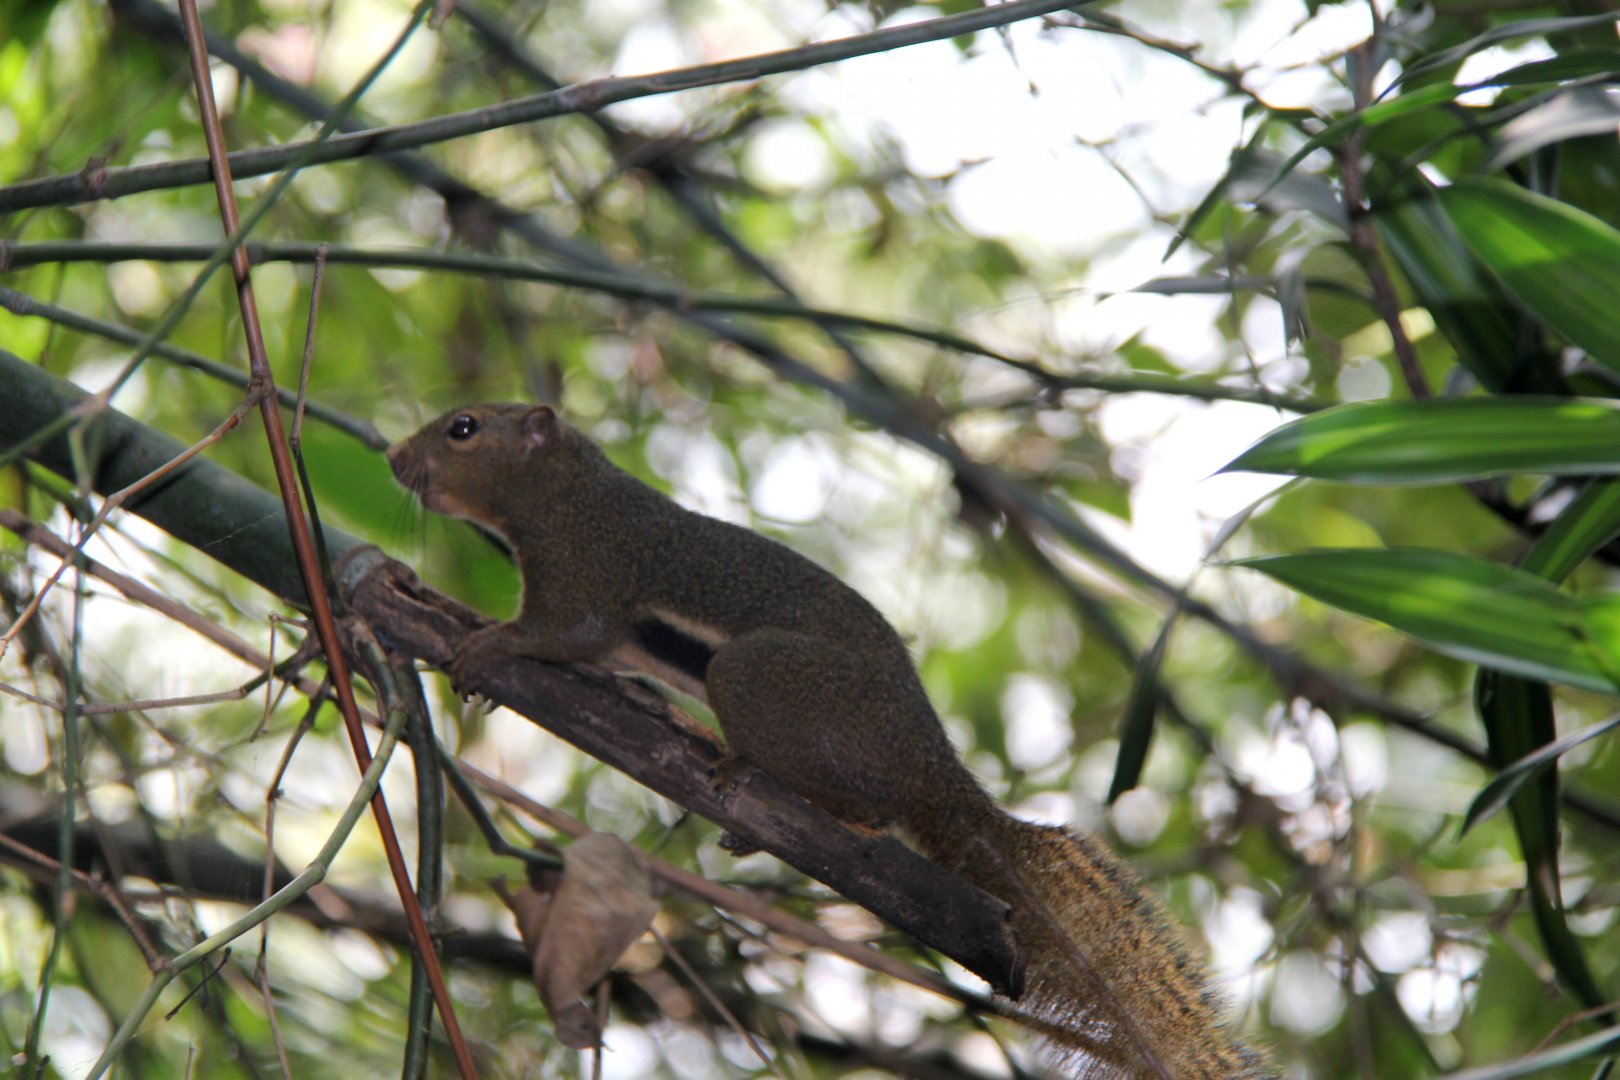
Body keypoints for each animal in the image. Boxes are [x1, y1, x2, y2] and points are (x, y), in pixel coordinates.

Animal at [389, 402, 1268, 1078]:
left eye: (464, 428)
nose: (395, 458)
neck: (564, 489)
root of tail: (930, 764)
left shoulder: (587, 573)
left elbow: (560, 634)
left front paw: (486, 646)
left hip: (757, 677)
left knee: (870, 806)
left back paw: (764, 780)